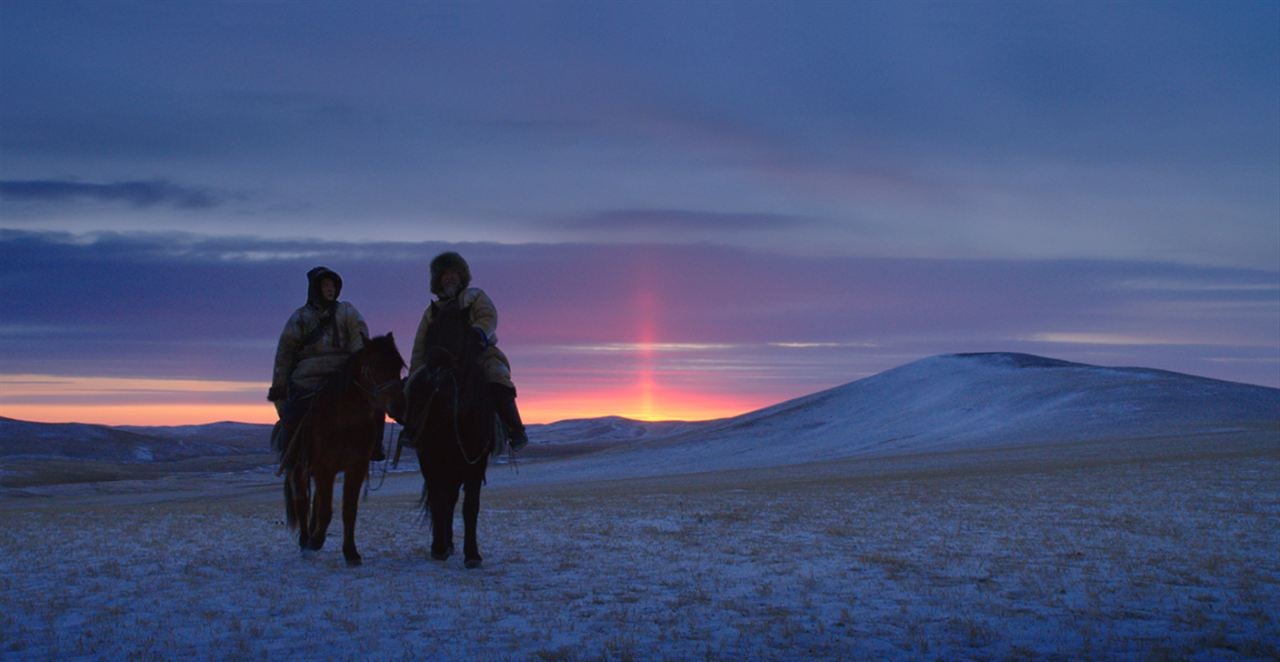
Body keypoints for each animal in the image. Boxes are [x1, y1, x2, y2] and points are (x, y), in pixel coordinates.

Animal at [285, 332, 404, 565]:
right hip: (299, 470)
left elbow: (349, 510)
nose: (399, 406)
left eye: (399, 365)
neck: (344, 421)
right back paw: (305, 540)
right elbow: (325, 509)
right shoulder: (324, 468)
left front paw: (350, 552)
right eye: (375, 365)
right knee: (302, 502)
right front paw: (315, 542)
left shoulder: (355, 468)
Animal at [404, 302, 494, 565]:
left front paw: (472, 554)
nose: (434, 368)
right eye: (431, 331)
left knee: (452, 499)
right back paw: (442, 544)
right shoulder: (431, 457)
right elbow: (438, 500)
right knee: (442, 499)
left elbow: (470, 505)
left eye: (458, 332)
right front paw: (439, 548)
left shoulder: (475, 460)